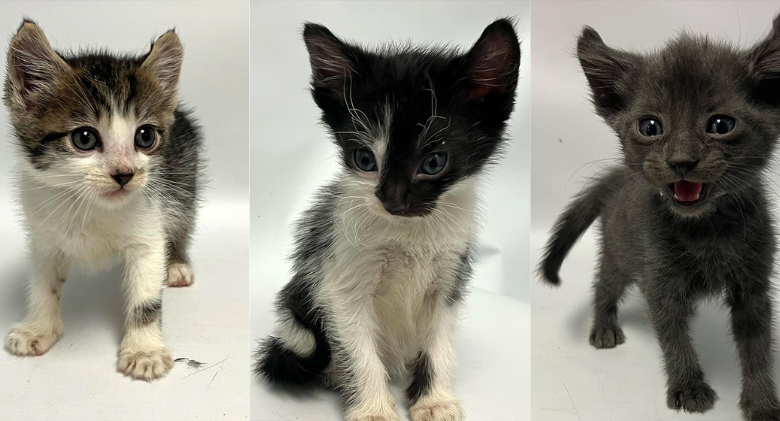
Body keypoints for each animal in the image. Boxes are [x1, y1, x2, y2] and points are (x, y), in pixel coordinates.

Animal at [3, 19, 203, 380]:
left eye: (145, 136)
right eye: (84, 138)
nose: (124, 174)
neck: (90, 205)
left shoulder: (148, 231)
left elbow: (146, 297)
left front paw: (144, 350)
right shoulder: (43, 234)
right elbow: (43, 283)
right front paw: (38, 328)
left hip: (184, 179)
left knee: (182, 220)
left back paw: (178, 264)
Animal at [256, 19, 520, 420]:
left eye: (433, 162)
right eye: (364, 159)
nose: (392, 201)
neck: (408, 232)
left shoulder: (449, 276)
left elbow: (438, 341)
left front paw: (434, 400)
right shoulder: (340, 275)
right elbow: (357, 348)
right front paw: (373, 408)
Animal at [540, 13, 780, 420]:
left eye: (721, 125)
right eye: (650, 127)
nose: (681, 161)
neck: (706, 229)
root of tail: (619, 178)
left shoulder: (753, 283)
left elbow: (757, 346)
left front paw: (762, 401)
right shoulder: (660, 274)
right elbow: (672, 334)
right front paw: (689, 388)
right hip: (619, 251)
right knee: (604, 284)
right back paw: (604, 327)